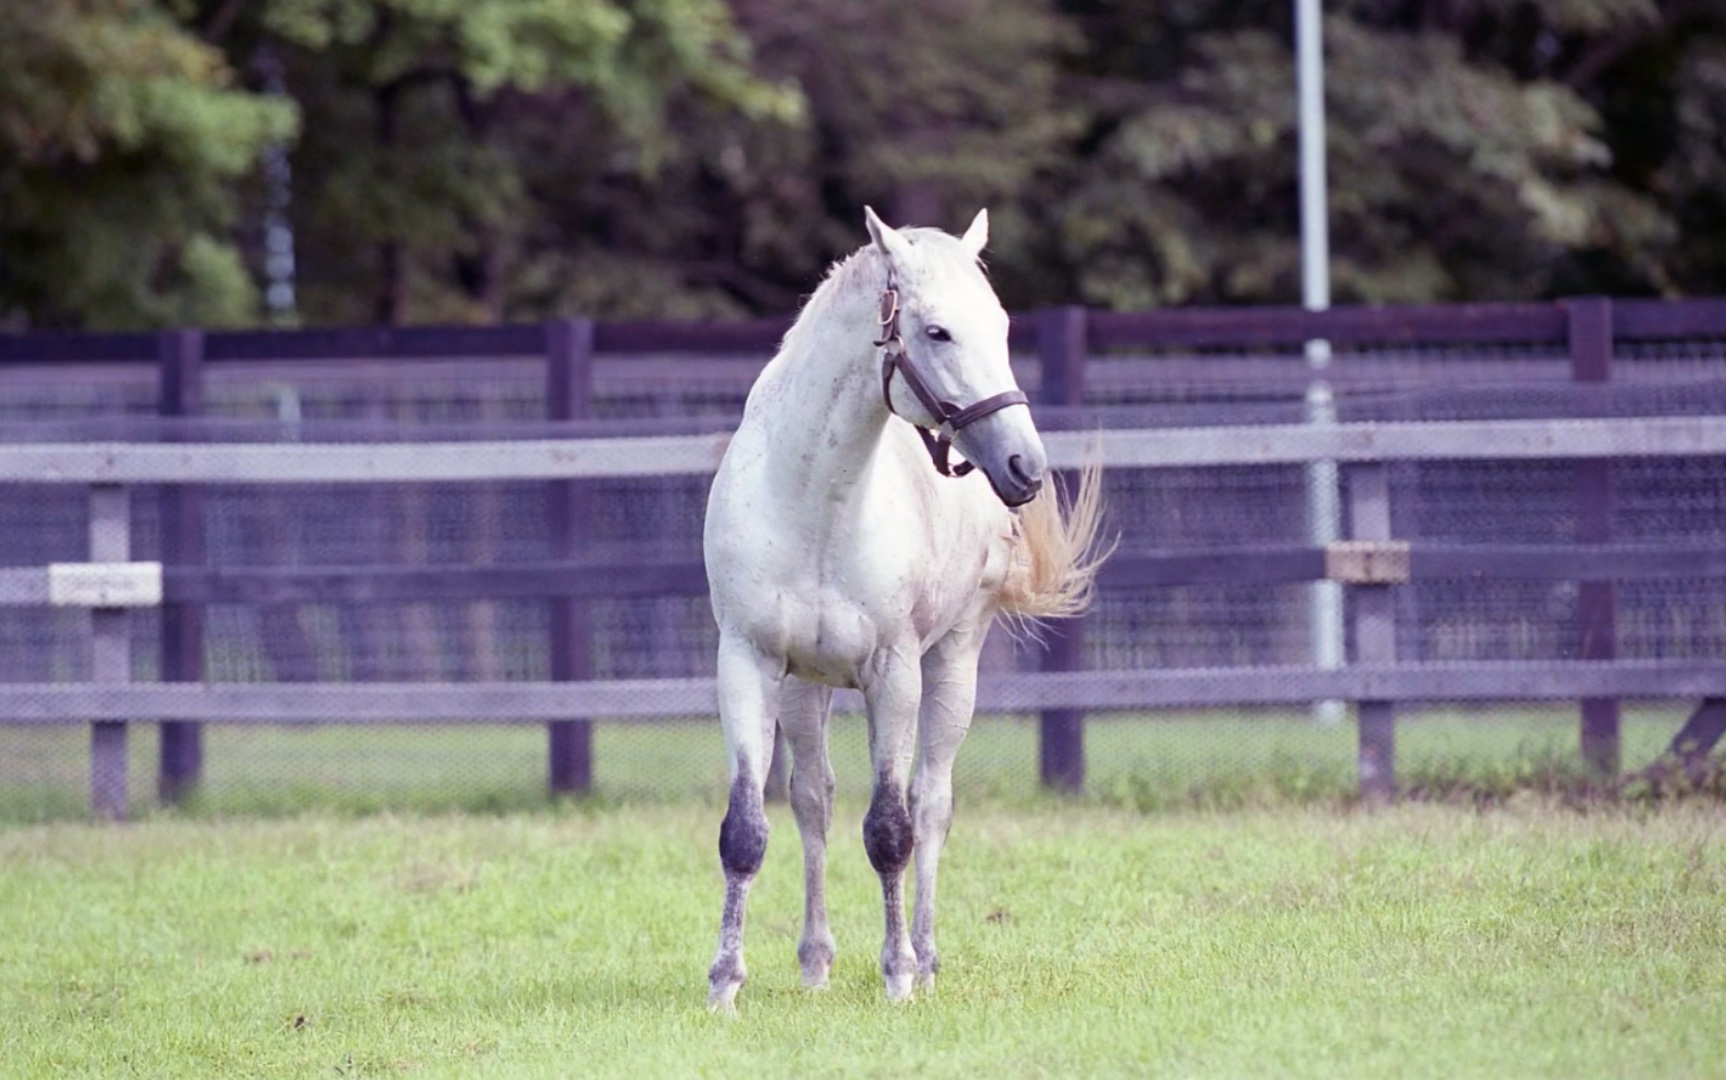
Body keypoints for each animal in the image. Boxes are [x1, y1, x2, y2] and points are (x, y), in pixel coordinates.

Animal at [700, 206, 1104, 1007]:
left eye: (1002, 326)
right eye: (937, 331)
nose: (1026, 466)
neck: (816, 505)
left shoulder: (895, 674)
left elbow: (891, 828)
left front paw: (899, 976)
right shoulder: (748, 665)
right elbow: (748, 829)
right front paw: (725, 984)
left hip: (953, 668)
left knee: (932, 801)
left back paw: (926, 954)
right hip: (804, 690)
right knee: (815, 801)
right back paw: (816, 962)